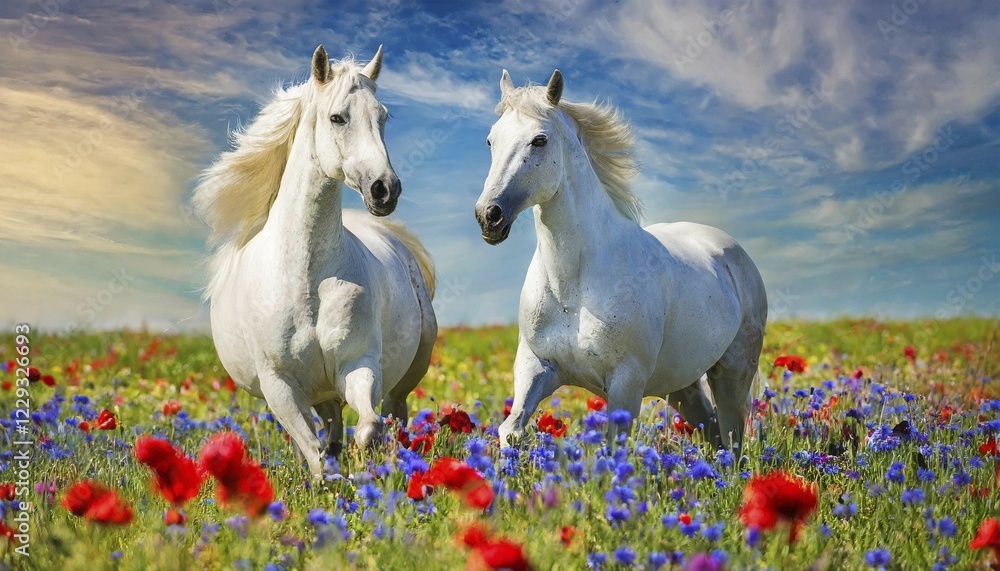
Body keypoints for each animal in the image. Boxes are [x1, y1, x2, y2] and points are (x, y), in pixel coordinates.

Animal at [193, 45, 437, 476]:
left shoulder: (358, 365)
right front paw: (330, 478)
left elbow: (368, 427)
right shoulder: (281, 387)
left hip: (407, 372)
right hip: (313, 394)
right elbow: (313, 451)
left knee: (393, 415)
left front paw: (364, 465)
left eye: (383, 116)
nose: (385, 190)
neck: (305, 278)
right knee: (324, 427)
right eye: (337, 117)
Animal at [475, 69, 767, 453]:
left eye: (539, 140)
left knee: (732, 436)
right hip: (681, 385)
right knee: (713, 430)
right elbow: (511, 430)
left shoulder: (626, 382)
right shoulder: (535, 367)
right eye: (491, 141)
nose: (488, 216)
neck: (573, 286)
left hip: (732, 373)